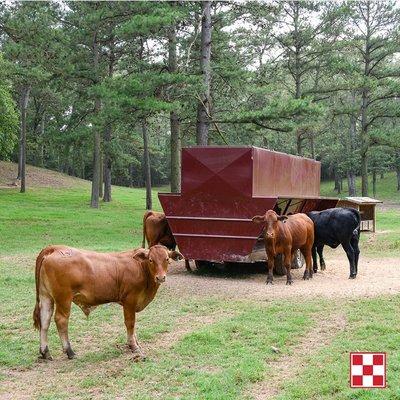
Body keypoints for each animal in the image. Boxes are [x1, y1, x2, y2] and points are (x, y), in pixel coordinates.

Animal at [32, 244, 181, 362]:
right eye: (151, 260)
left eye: (167, 259)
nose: (160, 277)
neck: (140, 267)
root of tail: (55, 248)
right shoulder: (130, 300)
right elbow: (130, 323)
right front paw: (133, 346)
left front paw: (136, 342)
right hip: (64, 298)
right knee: (61, 320)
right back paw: (69, 351)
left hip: (46, 297)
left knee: (45, 320)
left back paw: (45, 352)